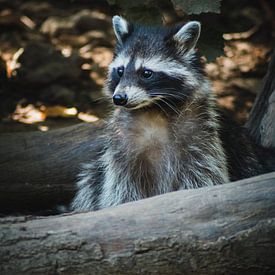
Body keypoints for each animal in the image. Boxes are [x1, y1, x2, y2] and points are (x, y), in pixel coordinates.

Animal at [70, 16, 274, 212]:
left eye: (146, 73)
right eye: (120, 71)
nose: (119, 98)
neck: (153, 109)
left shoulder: (201, 135)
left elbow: (203, 176)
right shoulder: (122, 142)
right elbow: (121, 185)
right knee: (91, 181)